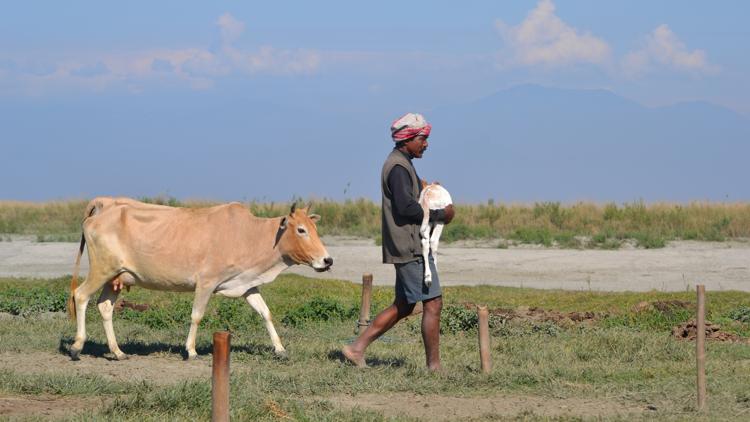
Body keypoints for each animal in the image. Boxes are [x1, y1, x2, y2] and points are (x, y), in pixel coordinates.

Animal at [67, 197, 332, 360]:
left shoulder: (247, 284)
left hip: (116, 277)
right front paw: (191, 350)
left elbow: (265, 313)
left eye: (314, 229)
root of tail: (105, 205)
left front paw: (280, 348)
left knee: (104, 307)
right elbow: (196, 315)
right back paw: (77, 346)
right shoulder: (206, 282)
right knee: (80, 296)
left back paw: (118, 351)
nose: (327, 260)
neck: (250, 235)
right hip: (101, 270)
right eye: (301, 230)